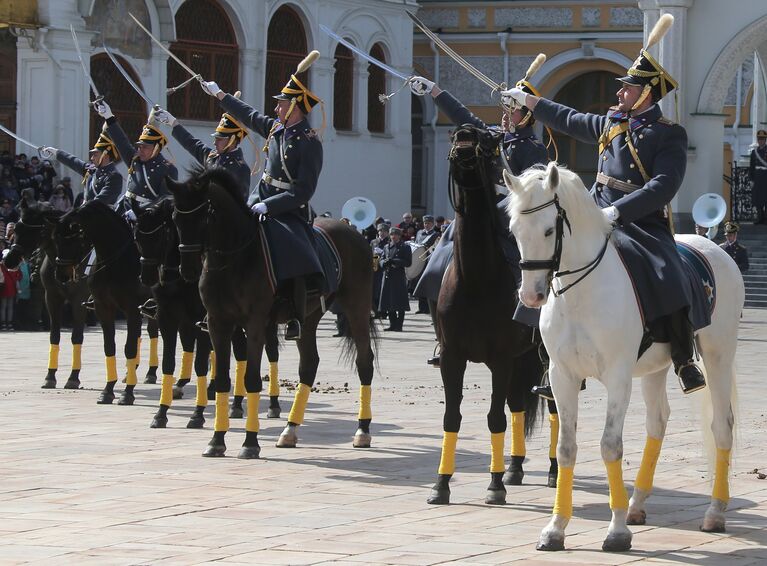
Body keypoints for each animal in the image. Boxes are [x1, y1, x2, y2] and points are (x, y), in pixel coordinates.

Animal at [3, 192, 89, 390]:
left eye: (37, 231)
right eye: (16, 228)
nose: (9, 260)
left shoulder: (79, 300)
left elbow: (77, 336)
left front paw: (73, 377)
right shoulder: (51, 297)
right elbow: (54, 335)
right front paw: (50, 376)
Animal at [54, 202, 158, 406]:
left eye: (73, 240)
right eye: (56, 239)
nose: (61, 275)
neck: (115, 261)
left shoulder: (132, 309)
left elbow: (129, 348)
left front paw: (127, 394)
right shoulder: (103, 307)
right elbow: (109, 347)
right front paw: (108, 391)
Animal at [169, 170, 378, 462]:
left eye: (203, 218)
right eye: (175, 218)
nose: (186, 270)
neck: (237, 256)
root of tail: (353, 232)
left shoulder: (255, 323)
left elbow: (252, 379)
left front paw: (250, 442)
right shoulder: (217, 323)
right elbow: (222, 379)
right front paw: (217, 440)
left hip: (356, 305)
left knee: (364, 361)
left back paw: (362, 430)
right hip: (310, 316)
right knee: (309, 364)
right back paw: (290, 430)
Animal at [428, 126, 548, 508]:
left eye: (486, 141)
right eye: (457, 135)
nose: (465, 137)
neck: (477, 277)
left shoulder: (500, 359)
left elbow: (495, 418)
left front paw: (494, 486)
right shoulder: (452, 357)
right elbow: (451, 416)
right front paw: (442, 483)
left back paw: (553, 470)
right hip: (523, 359)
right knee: (518, 404)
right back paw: (515, 467)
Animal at [504, 164, 744, 556]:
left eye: (549, 230)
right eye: (513, 231)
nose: (531, 295)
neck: (580, 294)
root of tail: (714, 247)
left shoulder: (617, 376)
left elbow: (610, 446)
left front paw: (616, 531)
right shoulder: (562, 376)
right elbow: (566, 448)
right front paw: (556, 528)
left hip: (718, 353)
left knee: (722, 425)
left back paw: (714, 512)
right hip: (656, 367)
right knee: (657, 422)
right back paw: (637, 503)